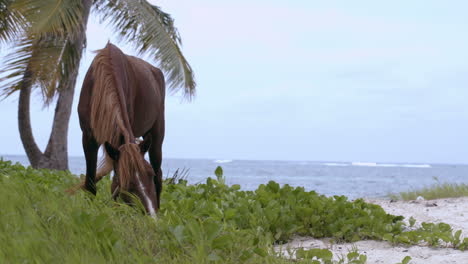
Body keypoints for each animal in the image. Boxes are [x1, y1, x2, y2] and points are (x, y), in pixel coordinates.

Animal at [76, 42, 165, 217]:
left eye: (149, 174)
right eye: (128, 182)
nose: (151, 215)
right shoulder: (88, 138)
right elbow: (91, 182)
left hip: (157, 137)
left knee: (159, 174)